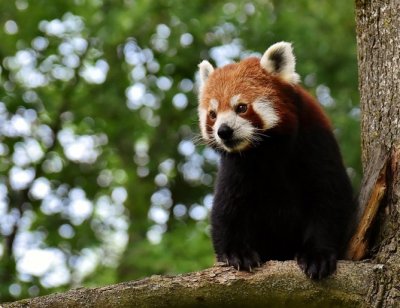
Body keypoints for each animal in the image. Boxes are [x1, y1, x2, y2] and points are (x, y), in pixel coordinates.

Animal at [197, 42, 356, 280]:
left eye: (241, 107)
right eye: (213, 114)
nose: (223, 131)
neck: (265, 151)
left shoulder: (315, 143)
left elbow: (329, 198)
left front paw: (317, 255)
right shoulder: (236, 166)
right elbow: (227, 208)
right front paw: (238, 253)